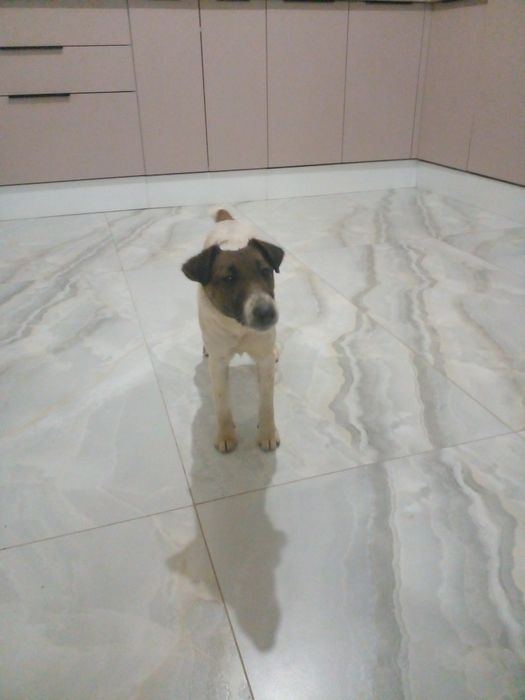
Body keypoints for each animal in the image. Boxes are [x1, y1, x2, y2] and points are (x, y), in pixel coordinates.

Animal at [182, 209, 284, 453]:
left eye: (265, 271)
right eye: (228, 278)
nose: (267, 312)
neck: (238, 327)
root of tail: (227, 219)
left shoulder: (264, 360)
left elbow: (267, 403)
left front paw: (267, 433)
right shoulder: (218, 364)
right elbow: (222, 404)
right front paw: (226, 434)